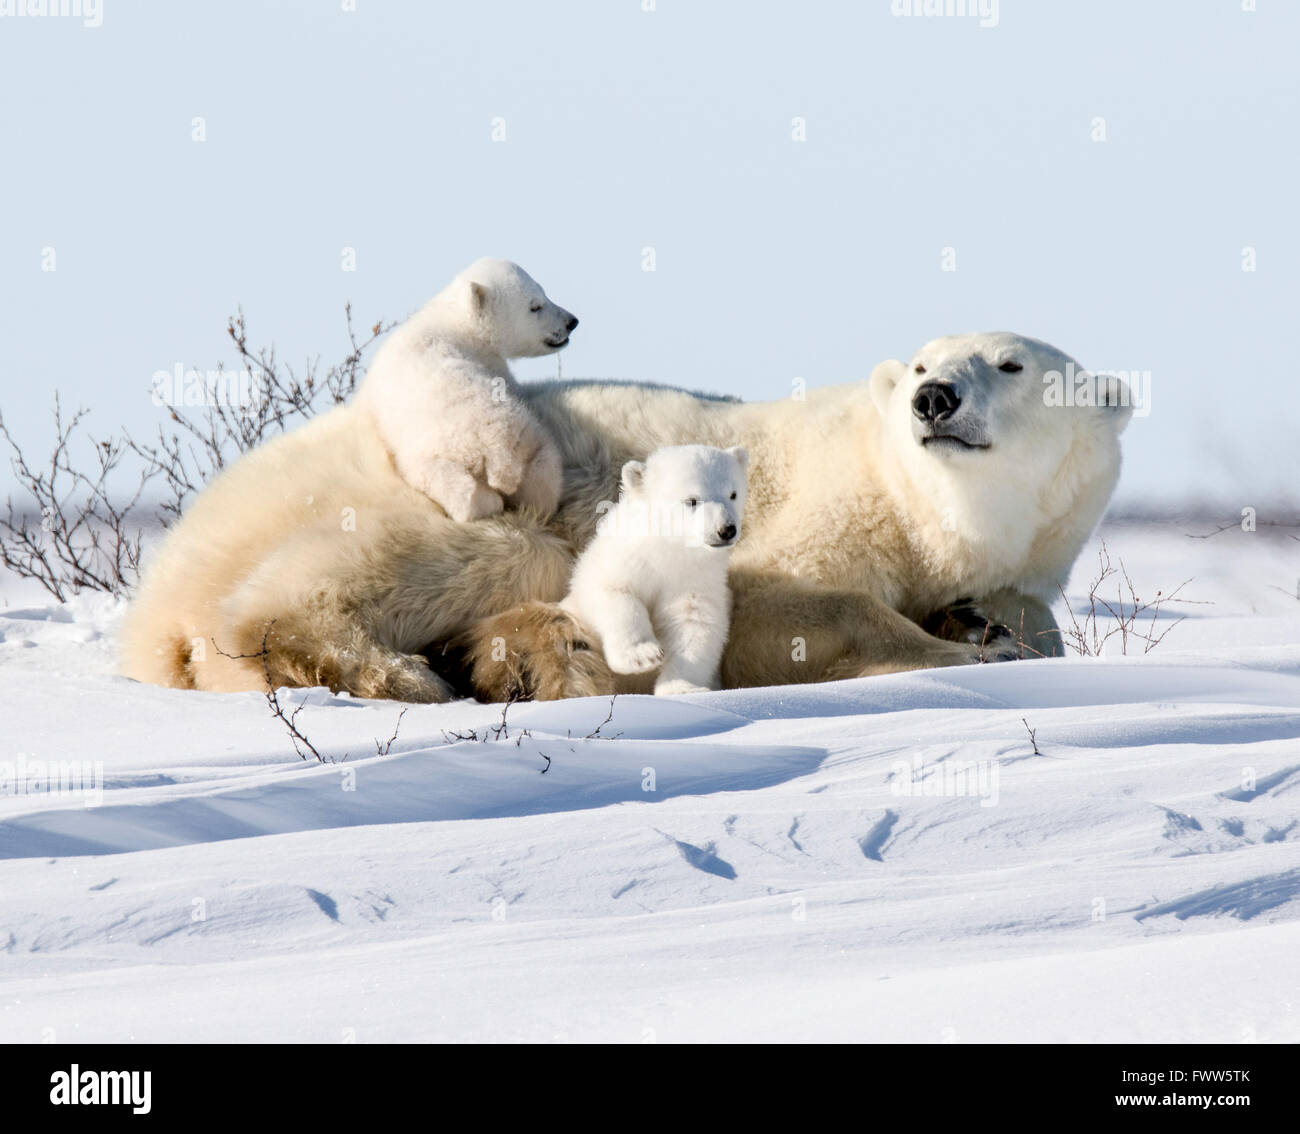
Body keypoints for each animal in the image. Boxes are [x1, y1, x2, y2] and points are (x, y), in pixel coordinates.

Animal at [356, 258, 578, 522]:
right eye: (535, 306)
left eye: (544, 293)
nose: (571, 322)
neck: (453, 318)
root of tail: (498, 453)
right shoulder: (491, 361)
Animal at [559, 444, 748, 696]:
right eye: (692, 500)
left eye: (733, 494)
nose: (726, 530)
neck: (666, 550)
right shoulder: (622, 561)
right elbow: (614, 595)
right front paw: (642, 656)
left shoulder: (694, 579)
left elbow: (694, 625)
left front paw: (682, 688)